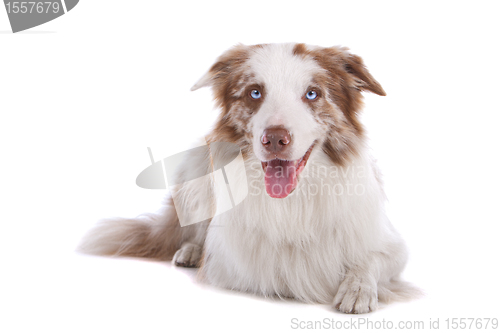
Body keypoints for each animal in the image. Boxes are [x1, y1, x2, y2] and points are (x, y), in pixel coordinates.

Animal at [81, 42, 418, 312]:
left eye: (312, 94)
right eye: (255, 92)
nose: (275, 138)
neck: (296, 199)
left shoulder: (392, 245)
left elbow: (370, 260)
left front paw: (357, 288)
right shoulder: (235, 263)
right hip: (196, 168)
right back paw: (191, 250)